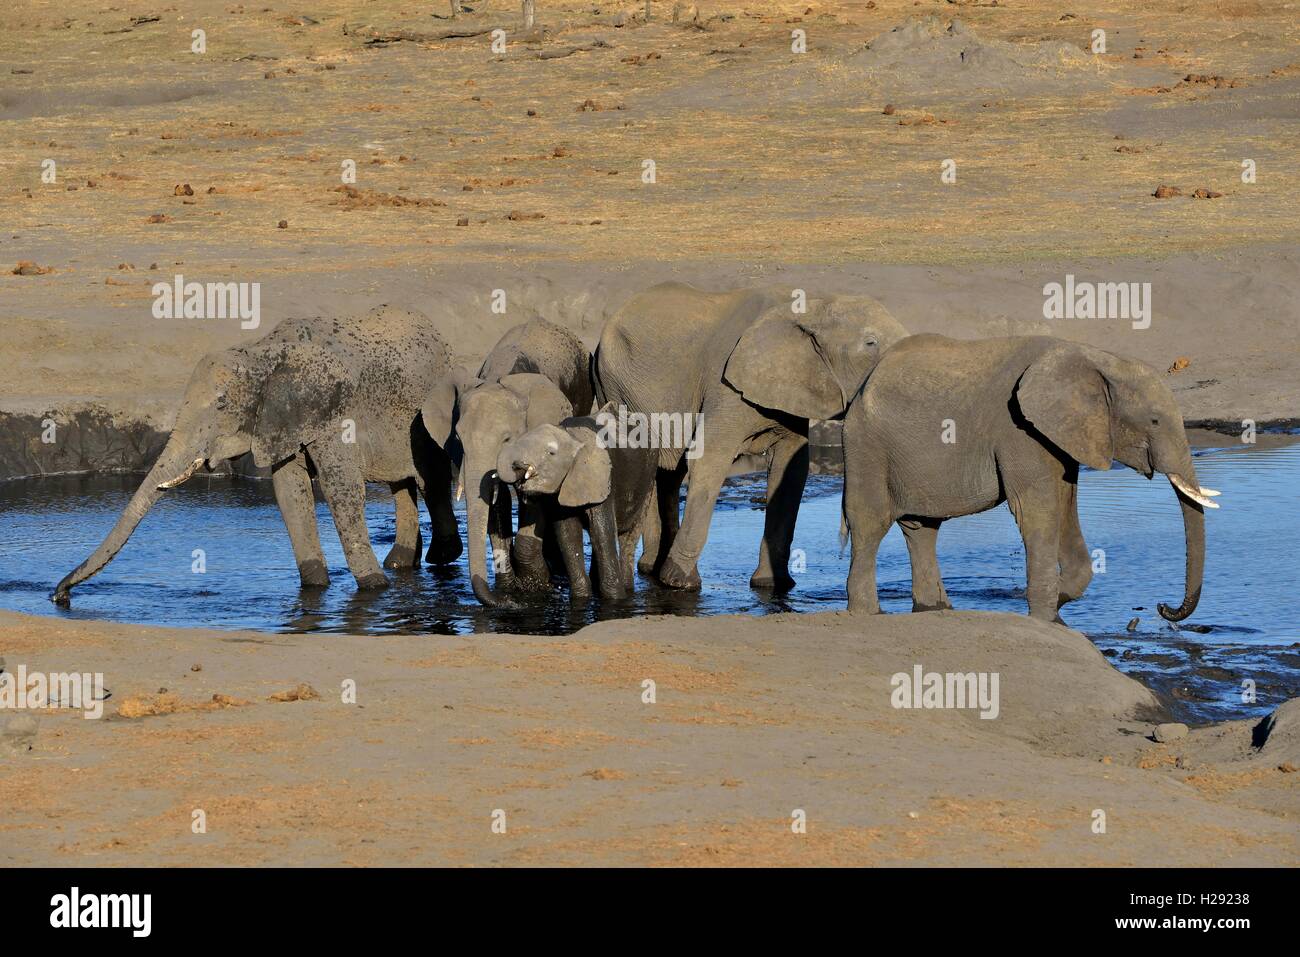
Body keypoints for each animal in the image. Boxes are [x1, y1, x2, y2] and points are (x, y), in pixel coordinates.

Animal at [53, 306, 465, 605]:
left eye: (221, 405)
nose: (60, 596)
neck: (260, 353)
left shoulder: (333, 414)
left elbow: (341, 489)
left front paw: (374, 587)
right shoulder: (280, 421)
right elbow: (289, 491)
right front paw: (316, 587)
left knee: (431, 479)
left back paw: (439, 558)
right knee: (402, 483)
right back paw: (400, 562)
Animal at [496, 408, 660, 598]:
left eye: (551, 453)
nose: (517, 465)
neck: (572, 437)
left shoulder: (603, 480)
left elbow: (601, 531)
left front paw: (614, 598)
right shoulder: (564, 487)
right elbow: (568, 533)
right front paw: (581, 596)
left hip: (648, 480)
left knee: (629, 537)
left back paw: (627, 589)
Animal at [595, 280, 909, 590]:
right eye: (870, 343)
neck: (813, 308)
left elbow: (791, 469)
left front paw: (772, 584)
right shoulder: (725, 388)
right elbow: (709, 460)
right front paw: (679, 583)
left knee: (667, 472)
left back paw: (651, 567)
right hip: (617, 388)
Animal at [842, 335, 1216, 621]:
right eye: (1154, 421)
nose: (1162, 607)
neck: (1095, 358)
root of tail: (862, 384)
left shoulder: (1059, 436)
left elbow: (1064, 504)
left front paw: (1055, 603)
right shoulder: (1019, 429)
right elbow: (1037, 511)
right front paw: (1042, 615)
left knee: (922, 530)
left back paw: (935, 610)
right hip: (866, 446)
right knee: (870, 525)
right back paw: (868, 613)